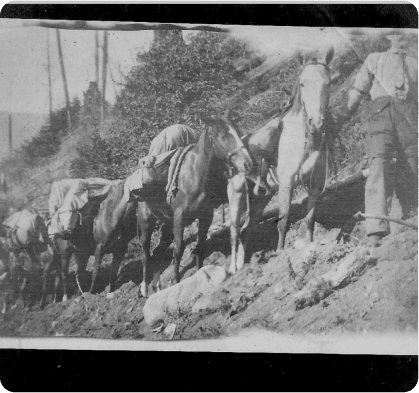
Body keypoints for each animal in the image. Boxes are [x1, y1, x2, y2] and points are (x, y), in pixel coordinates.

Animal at [137, 115, 253, 296]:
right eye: (223, 136)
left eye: (238, 131)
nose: (247, 163)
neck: (195, 175)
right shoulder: (179, 217)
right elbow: (178, 250)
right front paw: (176, 281)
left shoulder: (206, 216)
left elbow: (200, 246)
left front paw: (200, 273)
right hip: (146, 226)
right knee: (145, 255)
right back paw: (144, 288)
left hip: (167, 226)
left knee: (157, 253)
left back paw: (157, 287)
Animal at [276, 46, 338, 248]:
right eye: (302, 84)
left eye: (328, 83)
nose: (316, 124)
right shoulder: (285, 182)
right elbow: (283, 222)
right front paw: (280, 252)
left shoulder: (316, 183)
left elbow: (309, 219)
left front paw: (310, 243)